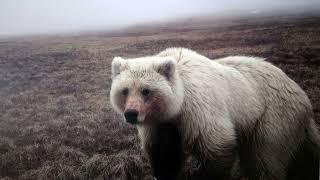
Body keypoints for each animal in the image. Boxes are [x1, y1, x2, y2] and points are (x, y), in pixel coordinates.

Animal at [109, 47, 318, 180]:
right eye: (125, 90)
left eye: (146, 90)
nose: (131, 114)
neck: (177, 106)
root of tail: (303, 96)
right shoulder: (160, 125)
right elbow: (164, 154)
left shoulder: (199, 109)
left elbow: (217, 146)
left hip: (271, 117)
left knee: (264, 159)